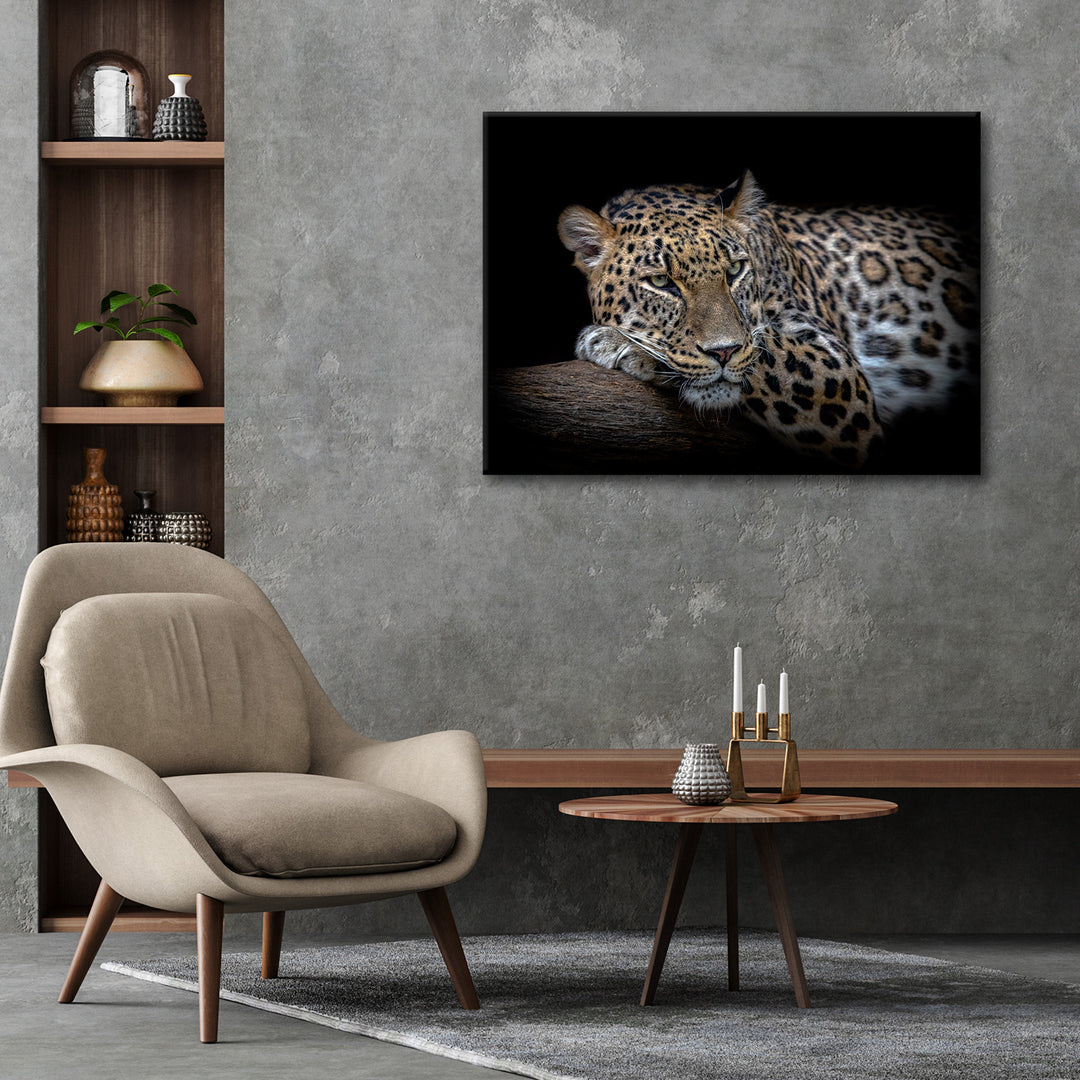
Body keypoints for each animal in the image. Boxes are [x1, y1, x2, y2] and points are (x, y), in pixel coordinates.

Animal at [557, 172, 979, 469]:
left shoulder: (838, 374)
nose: (723, 352)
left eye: (735, 270)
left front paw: (619, 343)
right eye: (661, 282)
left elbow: (763, 350)